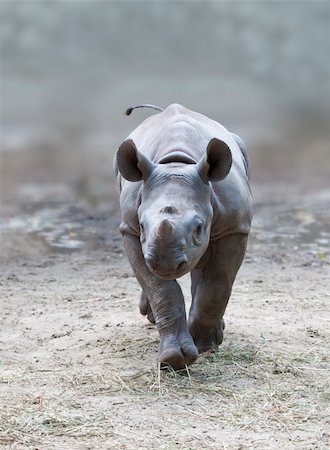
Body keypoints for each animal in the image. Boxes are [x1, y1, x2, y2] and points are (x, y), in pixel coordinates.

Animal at [113, 103, 253, 370]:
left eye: (199, 228)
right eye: (143, 226)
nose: (164, 264)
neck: (176, 166)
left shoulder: (235, 227)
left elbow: (218, 283)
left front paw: (204, 343)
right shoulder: (130, 229)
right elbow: (160, 289)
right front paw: (175, 359)